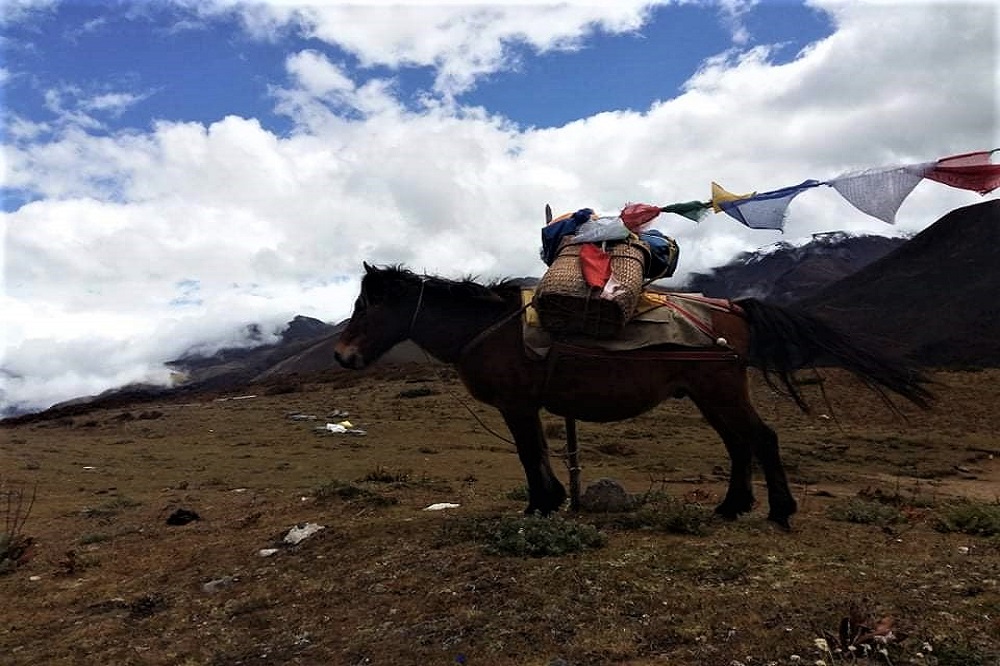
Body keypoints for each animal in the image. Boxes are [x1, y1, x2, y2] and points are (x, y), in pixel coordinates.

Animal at [334, 262, 928, 528]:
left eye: (365, 307)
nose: (341, 356)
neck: (488, 328)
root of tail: (734, 307)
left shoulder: (517, 405)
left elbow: (528, 454)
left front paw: (540, 504)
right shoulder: (527, 406)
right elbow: (540, 451)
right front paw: (551, 501)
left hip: (721, 391)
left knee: (761, 438)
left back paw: (778, 511)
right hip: (708, 396)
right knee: (740, 444)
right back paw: (731, 506)